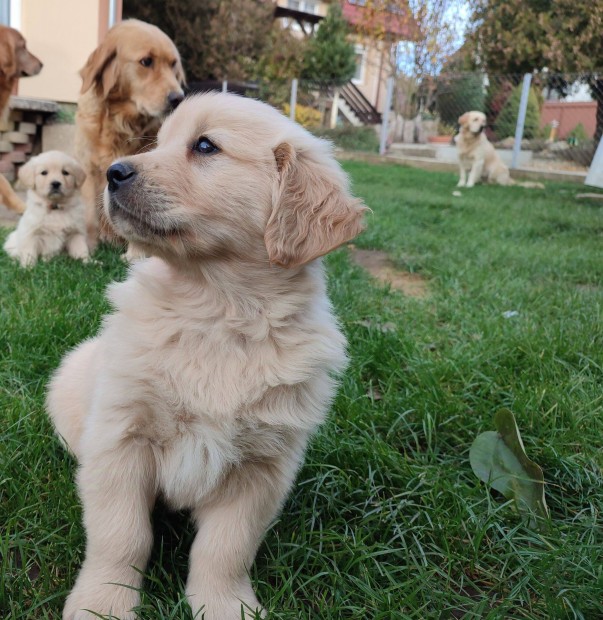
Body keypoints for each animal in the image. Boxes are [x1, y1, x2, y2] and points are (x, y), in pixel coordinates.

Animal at [46, 92, 368, 620]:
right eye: (158, 142)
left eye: (204, 146)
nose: (113, 172)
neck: (217, 309)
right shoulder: (121, 439)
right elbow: (122, 536)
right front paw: (102, 604)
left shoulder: (263, 467)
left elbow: (225, 547)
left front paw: (224, 605)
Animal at [77, 19, 186, 253]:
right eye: (146, 61)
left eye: (173, 64)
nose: (178, 98)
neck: (122, 122)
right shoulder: (89, 169)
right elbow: (89, 216)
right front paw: (88, 250)